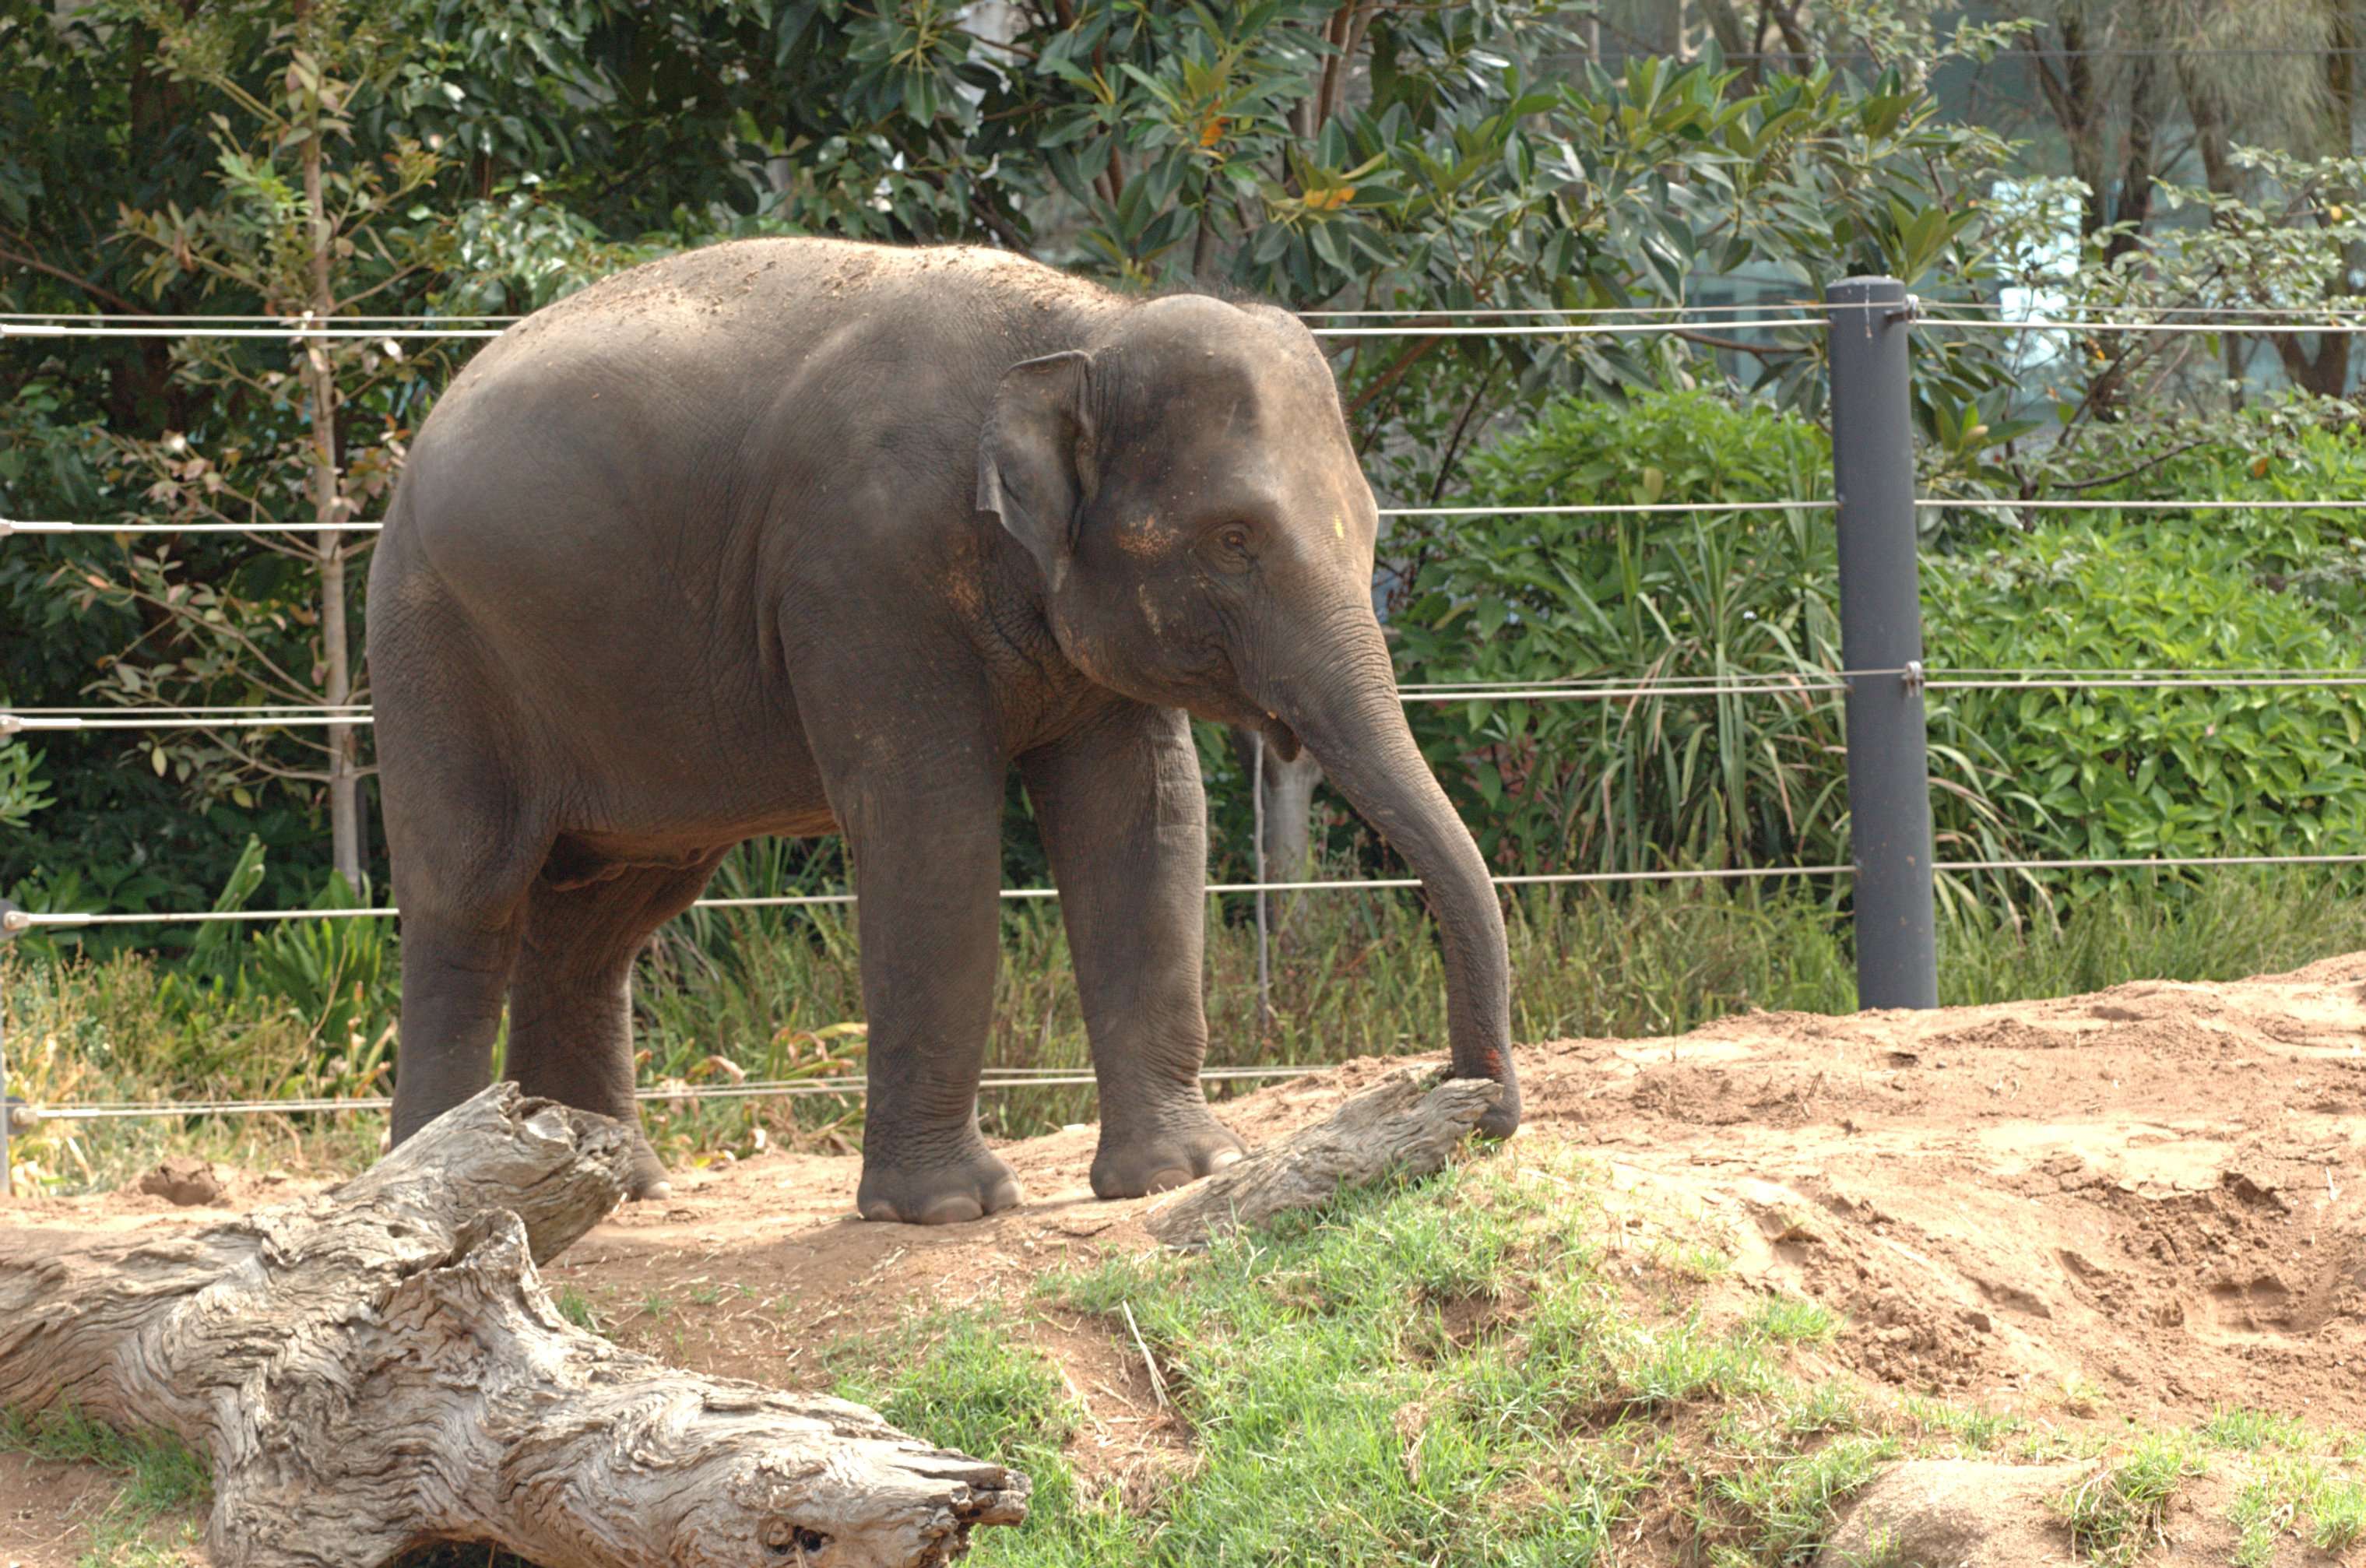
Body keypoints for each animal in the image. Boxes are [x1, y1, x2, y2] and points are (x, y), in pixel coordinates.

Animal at [367, 237, 1520, 1225]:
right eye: (1233, 539)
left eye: (1368, 523)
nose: (1479, 1108)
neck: (1085, 328)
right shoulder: (863, 572)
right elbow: (932, 829)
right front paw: (948, 1209)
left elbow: (1146, 818)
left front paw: (1181, 1172)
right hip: (434, 647)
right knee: (469, 898)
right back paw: (440, 1192)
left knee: (606, 915)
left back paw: (618, 1187)